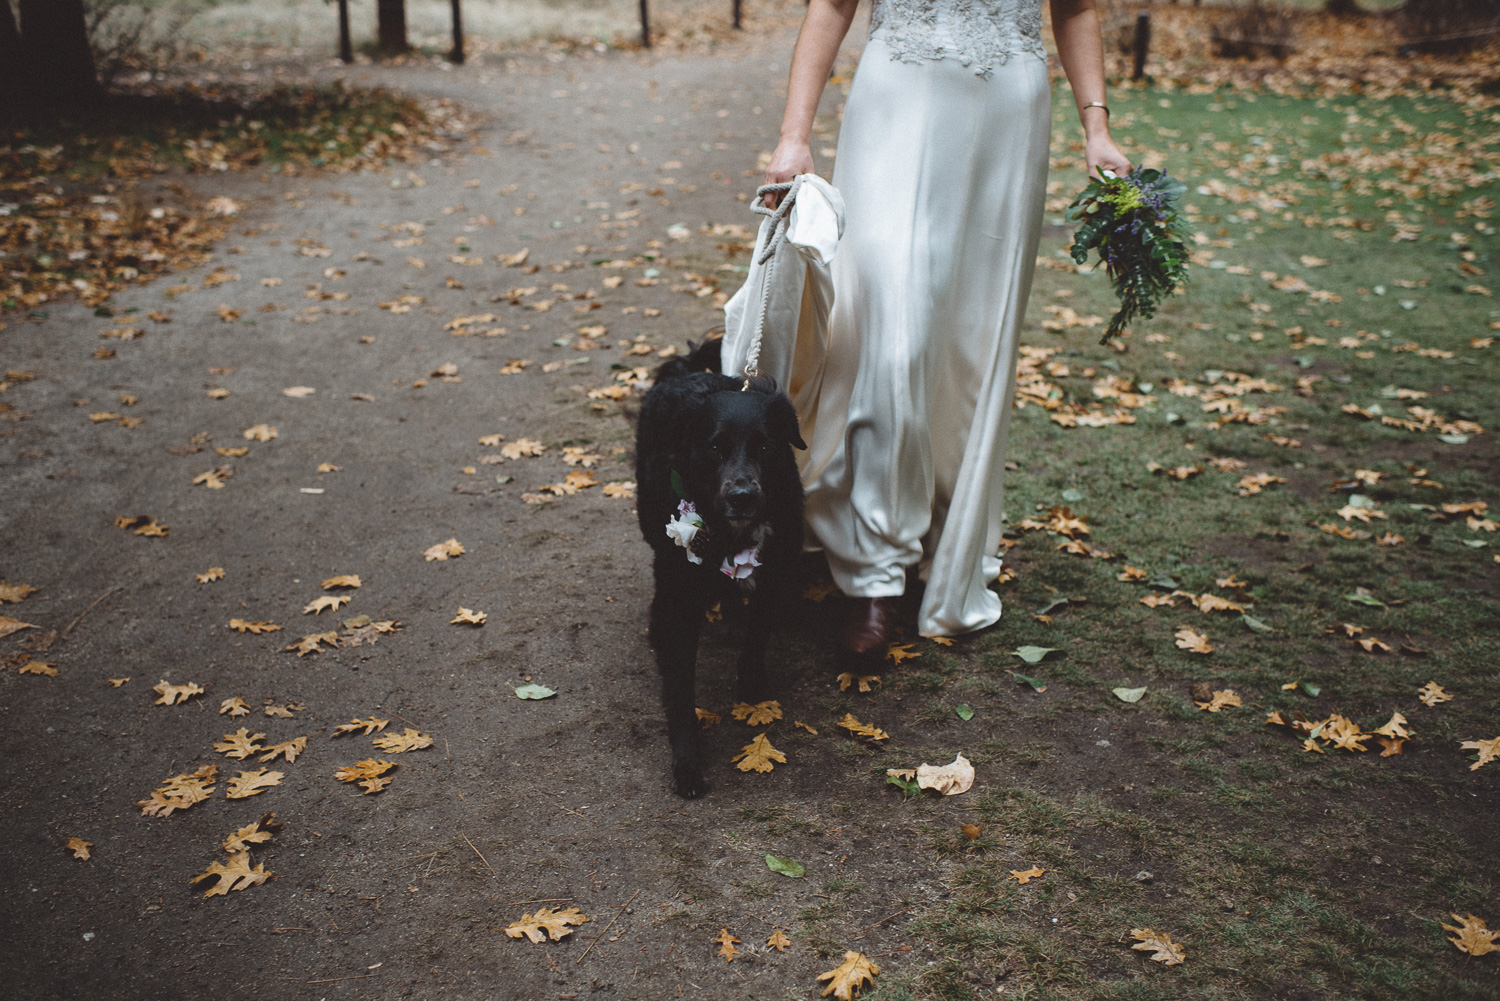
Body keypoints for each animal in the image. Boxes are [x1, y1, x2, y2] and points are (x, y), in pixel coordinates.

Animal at [642, 336, 816, 798]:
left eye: (765, 447)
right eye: (715, 447)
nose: (741, 496)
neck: (728, 533)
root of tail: (687, 370)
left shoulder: (775, 570)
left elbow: (758, 633)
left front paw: (751, 683)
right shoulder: (680, 600)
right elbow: (680, 690)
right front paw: (687, 763)